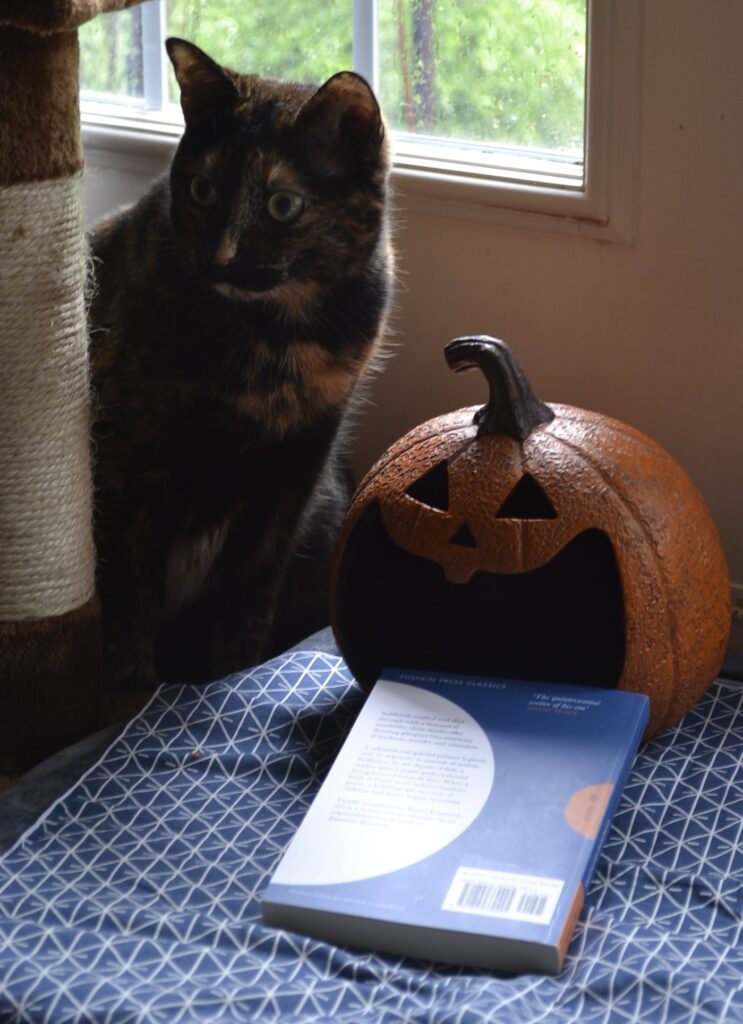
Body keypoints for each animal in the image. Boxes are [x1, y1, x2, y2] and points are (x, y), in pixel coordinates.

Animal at [88, 37, 395, 704]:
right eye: (203, 190)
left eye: (283, 205)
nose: (222, 259)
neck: (276, 340)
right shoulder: (130, 472)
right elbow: (128, 609)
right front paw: (133, 704)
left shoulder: (290, 480)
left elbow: (245, 604)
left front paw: (228, 683)